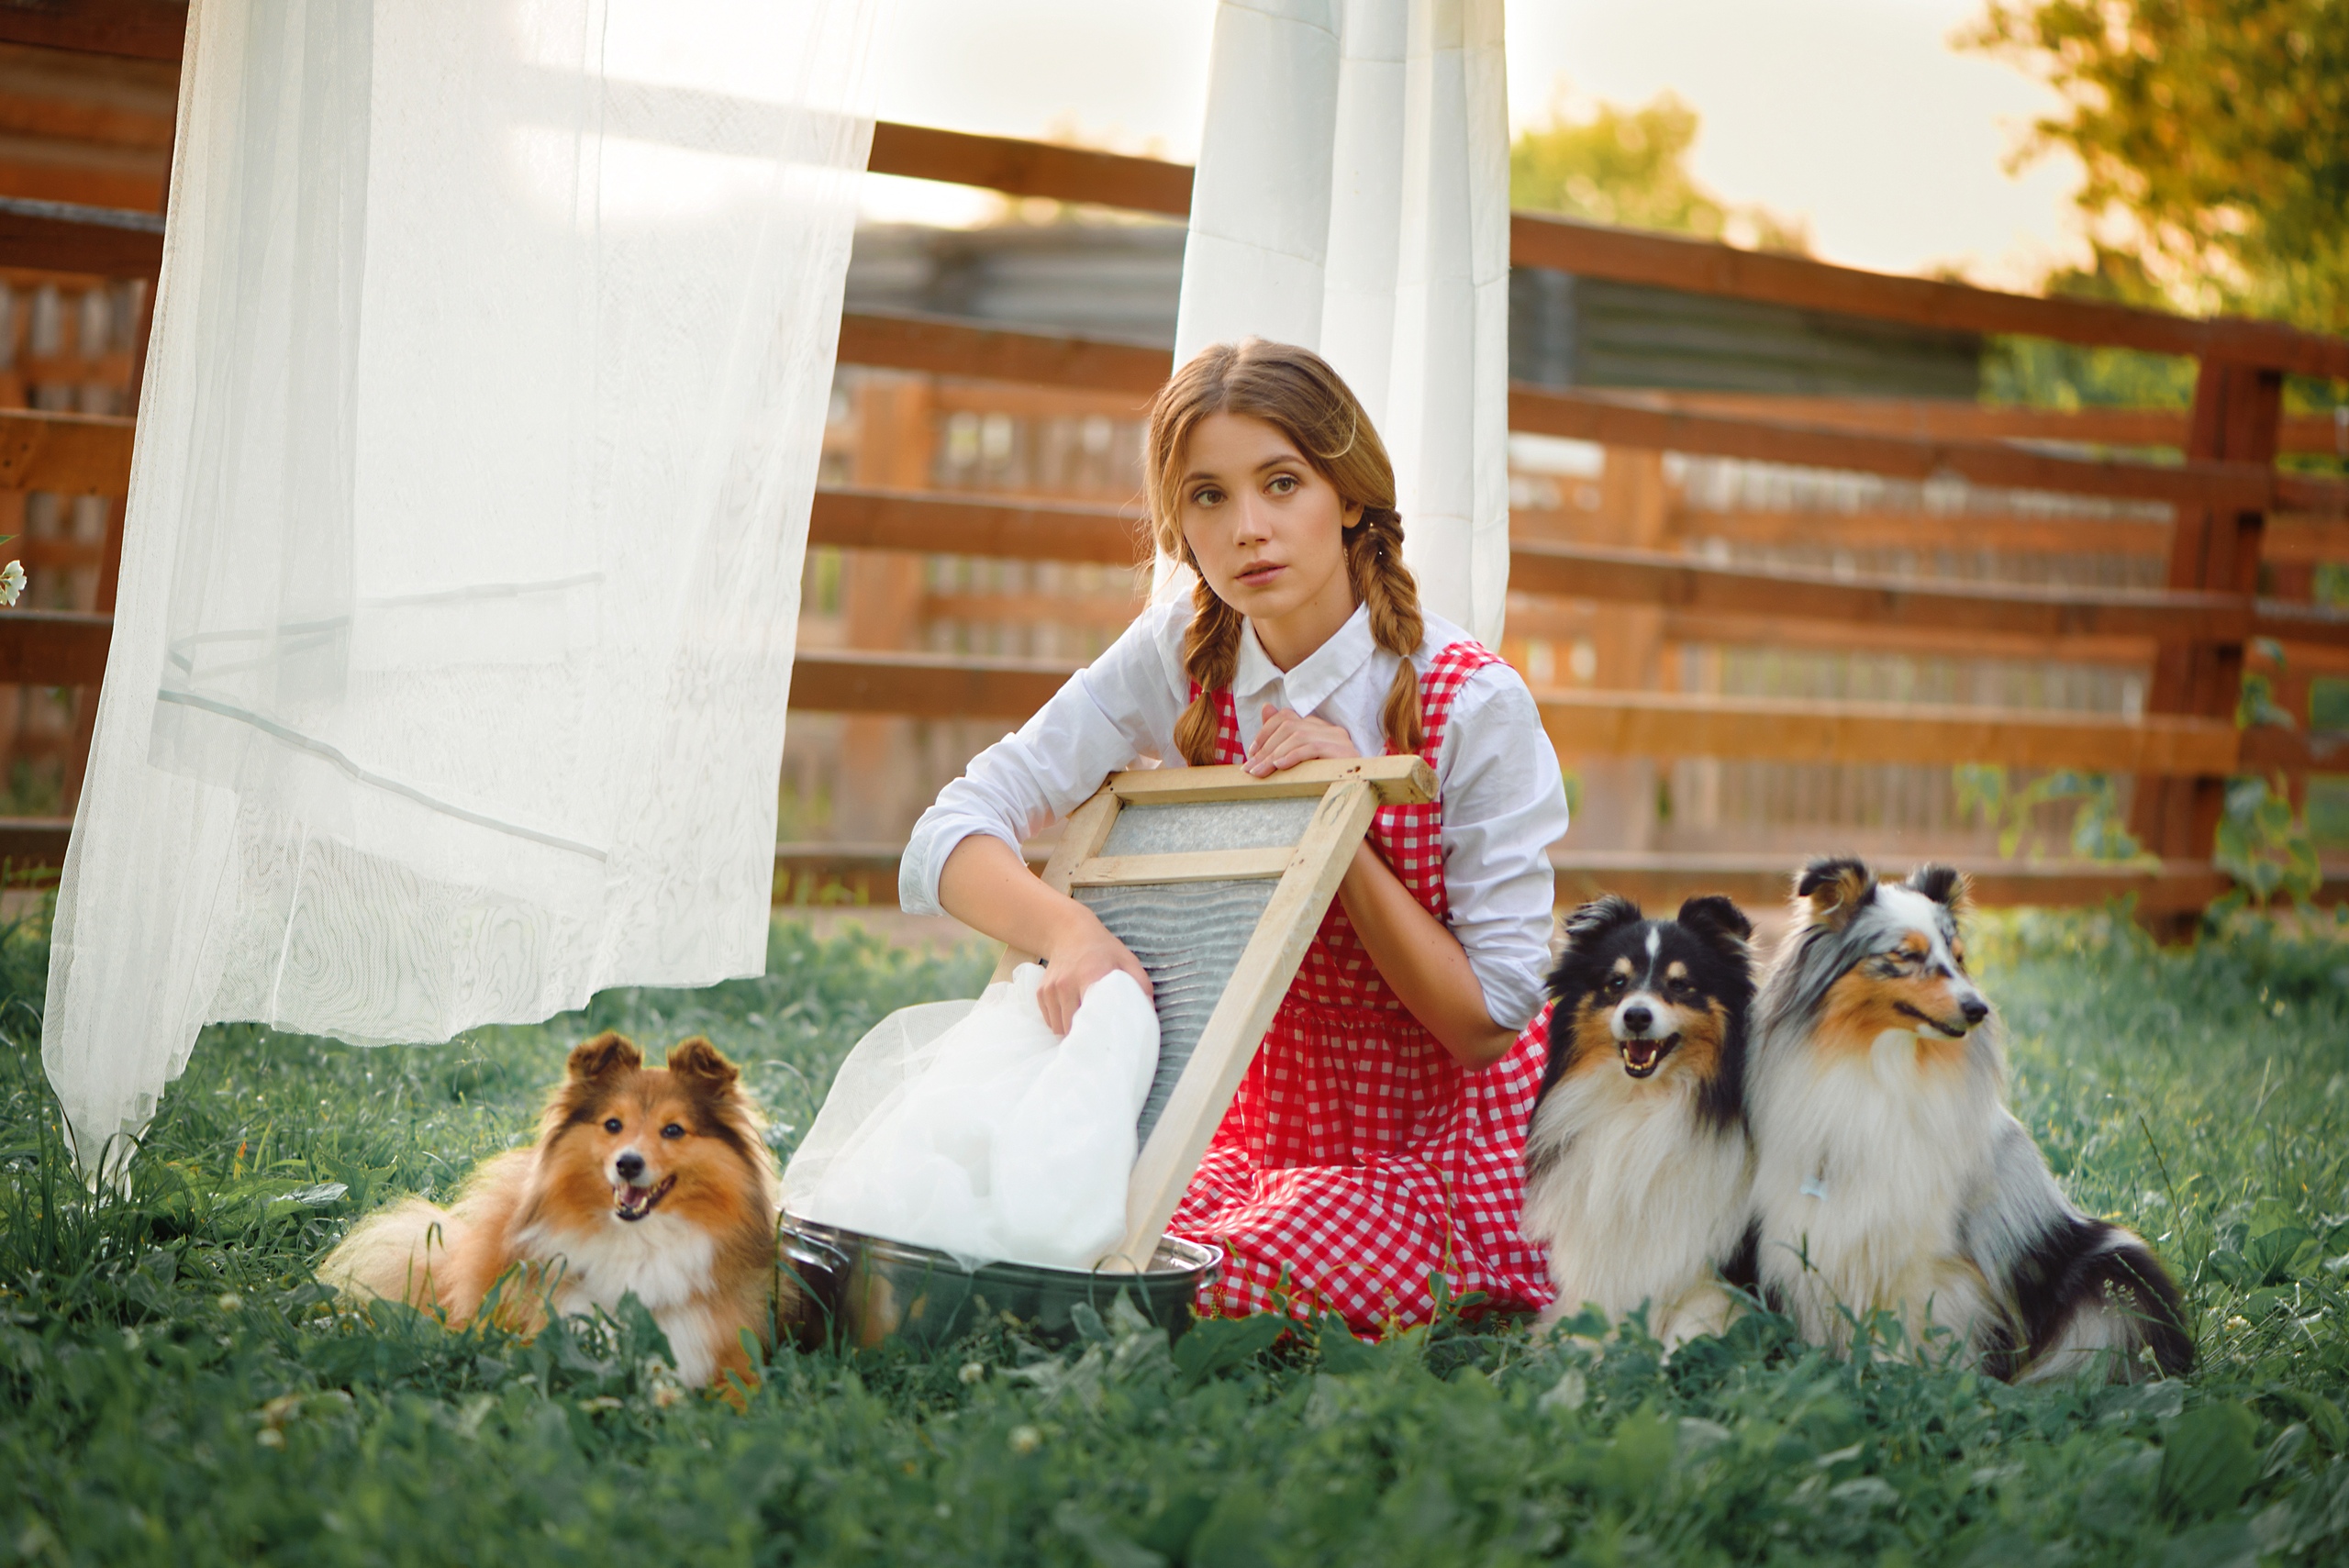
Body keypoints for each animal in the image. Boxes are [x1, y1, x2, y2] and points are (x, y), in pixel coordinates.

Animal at [1521, 892, 1766, 1351]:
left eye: (1680, 984)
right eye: (1616, 982)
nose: (1636, 1016)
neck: (1644, 1101)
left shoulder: (1715, 1267)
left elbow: (1689, 1328)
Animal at [1756, 859, 2188, 1380]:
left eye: (1958, 957)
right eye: (1906, 954)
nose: (1978, 1009)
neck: (1881, 1066)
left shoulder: (1931, 1257)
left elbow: (1909, 1323)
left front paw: (1901, 1377)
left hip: (2112, 1269)